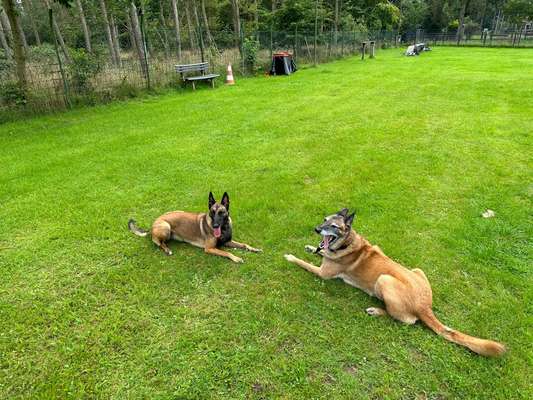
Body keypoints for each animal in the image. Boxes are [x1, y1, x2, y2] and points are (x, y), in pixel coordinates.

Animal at [129, 192, 262, 264]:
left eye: (221, 212)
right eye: (212, 212)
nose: (215, 226)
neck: (223, 228)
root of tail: (153, 224)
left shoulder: (227, 241)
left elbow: (244, 244)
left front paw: (255, 249)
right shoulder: (209, 249)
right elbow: (226, 252)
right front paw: (236, 258)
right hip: (166, 227)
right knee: (159, 243)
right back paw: (167, 249)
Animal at [282, 209, 502, 356]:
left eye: (333, 227)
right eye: (324, 220)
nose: (316, 229)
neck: (347, 243)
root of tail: (425, 306)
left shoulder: (322, 273)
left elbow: (304, 262)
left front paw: (291, 257)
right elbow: (318, 251)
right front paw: (311, 247)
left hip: (384, 280)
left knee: (407, 320)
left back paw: (377, 311)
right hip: (417, 270)